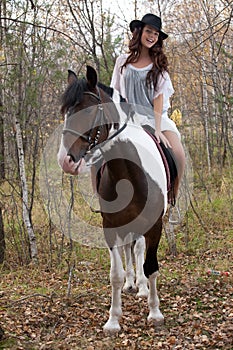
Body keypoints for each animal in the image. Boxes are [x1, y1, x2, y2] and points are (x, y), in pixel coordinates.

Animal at [57, 66, 171, 334]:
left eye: (88, 111)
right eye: (65, 113)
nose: (65, 160)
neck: (128, 172)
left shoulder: (154, 226)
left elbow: (151, 266)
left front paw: (155, 313)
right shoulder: (110, 226)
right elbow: (115, 274)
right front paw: (113, 320)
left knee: (138, 250)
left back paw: (142, 287)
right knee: (129, 249)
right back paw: (132, 283)